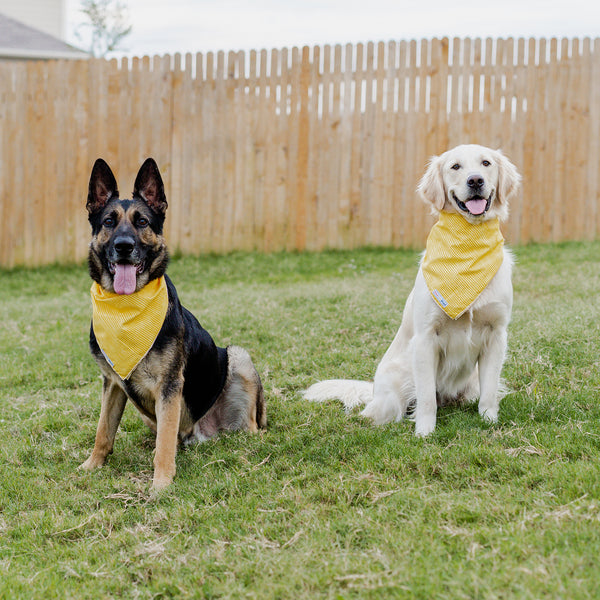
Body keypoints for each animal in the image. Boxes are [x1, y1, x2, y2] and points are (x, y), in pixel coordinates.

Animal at [304, 145, 520, 436]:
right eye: (455, 166)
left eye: (486, 163)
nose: (475, 181)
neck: (467, 245)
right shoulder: (426, 338)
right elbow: (427, 396)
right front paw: (425, 432)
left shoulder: (496, 335)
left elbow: (489, 391)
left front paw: (489, 421)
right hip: (392, 391)